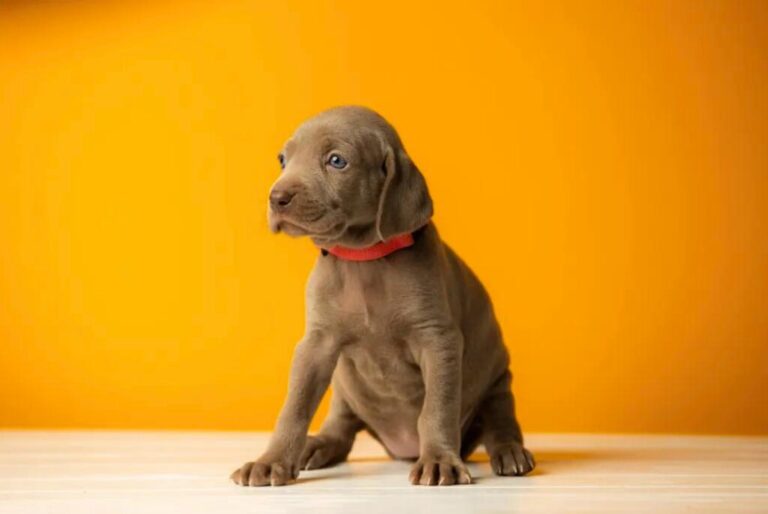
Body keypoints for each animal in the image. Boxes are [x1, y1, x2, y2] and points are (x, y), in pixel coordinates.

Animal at [231, 105, 536, 484]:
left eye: (336, 161)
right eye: (283, 160)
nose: (277, 198)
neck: (364, 260)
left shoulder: (438, 340)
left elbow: (437, 408)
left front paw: (439, 461)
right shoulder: (316, 344)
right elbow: (294, 406)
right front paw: (271, 461)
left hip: (498, 380)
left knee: (500, 419)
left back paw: (510, 452)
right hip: (346, 391)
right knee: (341, 428)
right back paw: (317, 446)